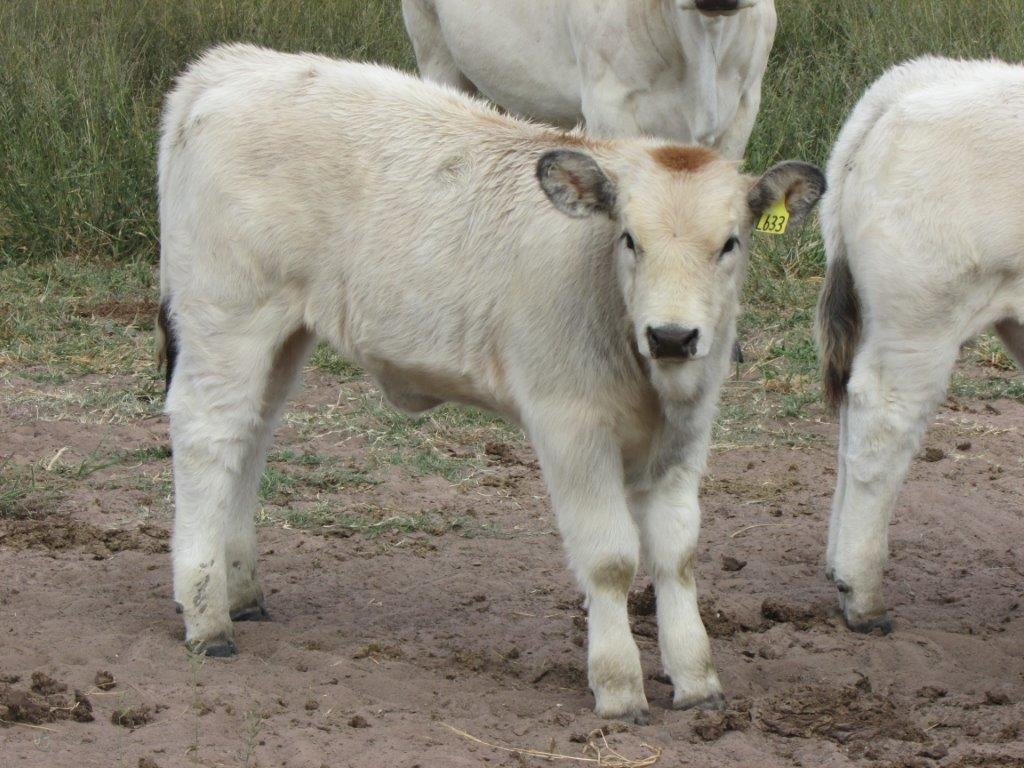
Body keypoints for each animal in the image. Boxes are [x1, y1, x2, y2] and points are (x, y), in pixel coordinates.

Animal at [159, 43, 823, 720]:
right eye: (629, 239)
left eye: (730, 243)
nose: (670, 335)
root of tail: (233, 66)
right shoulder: (571, 427)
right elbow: (610, 559)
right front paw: (617, 685)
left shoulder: (687, 435)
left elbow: (678, 556)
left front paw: (696, 678)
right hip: (227, 316)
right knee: (208, 437)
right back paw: (207, 615)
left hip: (280, 336)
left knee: (250, 436)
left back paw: (241, 590)